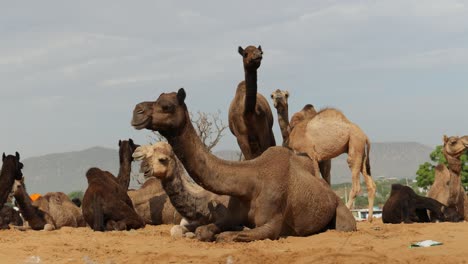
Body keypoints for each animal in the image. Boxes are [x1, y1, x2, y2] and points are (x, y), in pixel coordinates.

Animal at [131, 88, 354, 241]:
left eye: (166, 106)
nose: (136, 111)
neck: (250, 182)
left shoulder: (271, 223)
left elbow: (229, 236)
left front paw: (239, 230)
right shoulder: (228, 215)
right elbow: (206, 230)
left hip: (341, 211)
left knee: (347, 225)